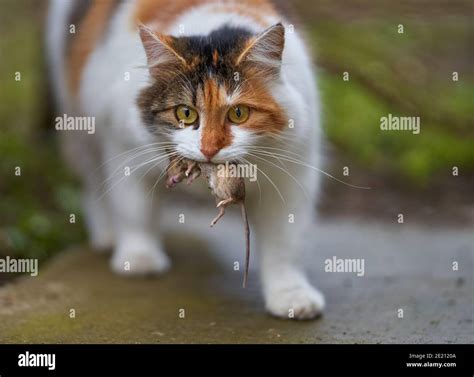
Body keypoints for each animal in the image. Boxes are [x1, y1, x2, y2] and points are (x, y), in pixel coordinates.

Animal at [46, 0, 324, 318]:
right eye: (185, 113)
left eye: (239, 113)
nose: (209, 148)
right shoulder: (123, 150)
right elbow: (135, 212)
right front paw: (139, 258)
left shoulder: (292, 176)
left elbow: (285, 244)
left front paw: (291, 296)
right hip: (81, 125)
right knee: (94, 183)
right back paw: (107, 235)